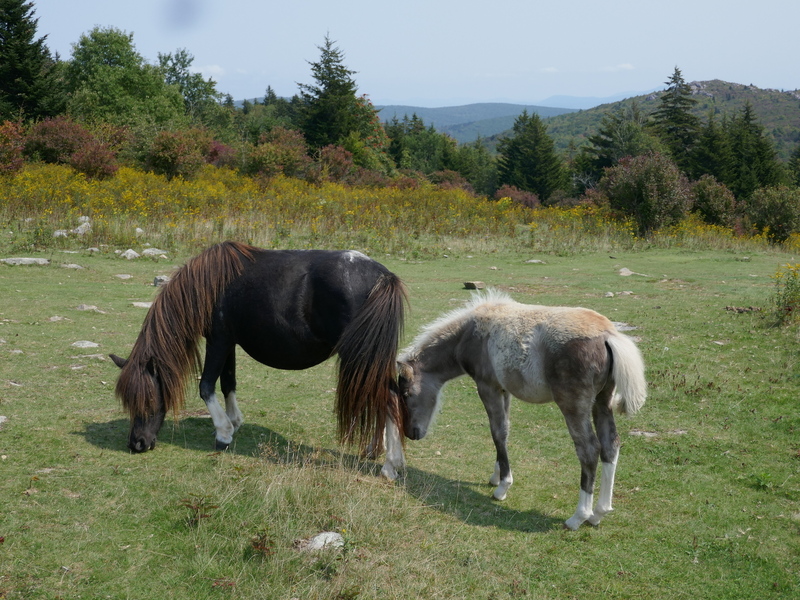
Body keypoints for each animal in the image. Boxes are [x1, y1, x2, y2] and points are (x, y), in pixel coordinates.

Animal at [111, 240, 406, 460]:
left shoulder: (218, 341)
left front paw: (223, 434)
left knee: (385, 395)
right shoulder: (228, 343)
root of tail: (383, 276)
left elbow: (206, 386)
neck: (209, 285)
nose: (136, 443)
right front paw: (233, 422)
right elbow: (228, 382)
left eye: (148, 399)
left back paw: (385, 457)